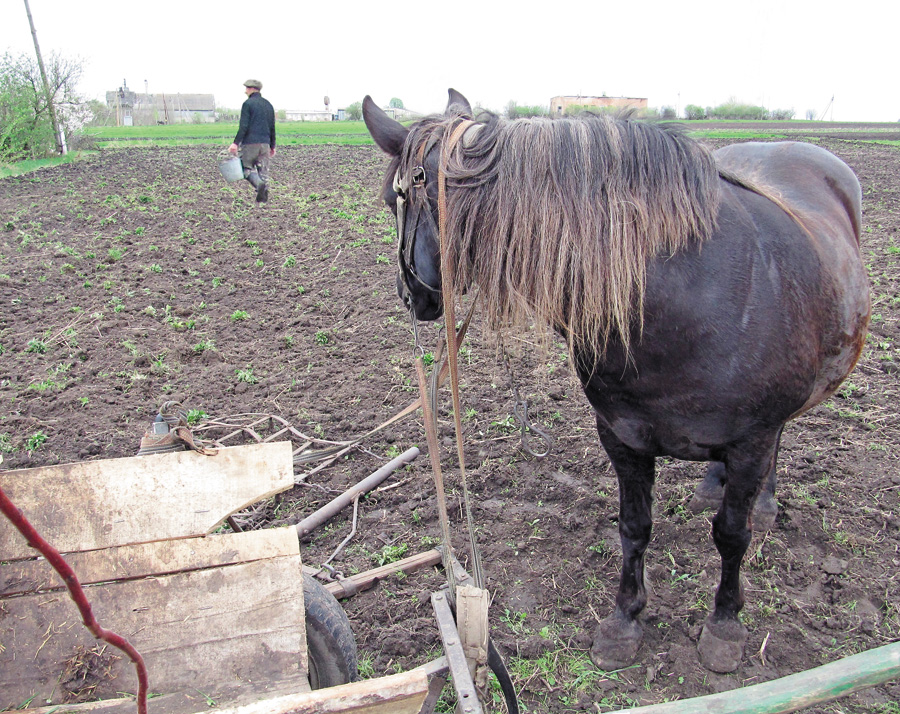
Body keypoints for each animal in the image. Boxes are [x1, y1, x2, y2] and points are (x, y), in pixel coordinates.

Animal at [362, 90, 868, 672]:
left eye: (392, 199)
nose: (409, 296)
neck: (687, 298)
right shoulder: (623, 437)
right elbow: (634, 528)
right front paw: (624, 622)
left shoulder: (752, 439)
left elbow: (731, 535)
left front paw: (724, 626)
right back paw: (710, 488)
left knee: (773, 456)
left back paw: (762, 503)